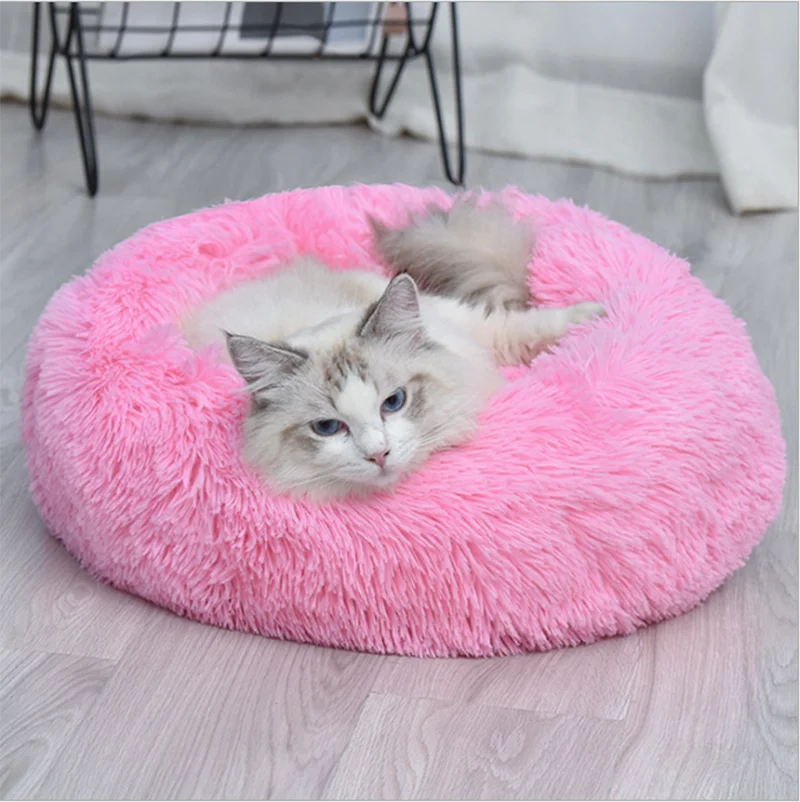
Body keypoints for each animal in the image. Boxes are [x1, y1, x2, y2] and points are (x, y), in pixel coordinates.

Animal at [181, 198, 604, 501]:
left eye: (394, 402)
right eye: (327, 428)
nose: (378, 454)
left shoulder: (475, 332)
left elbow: (524, 328)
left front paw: (598, 313)